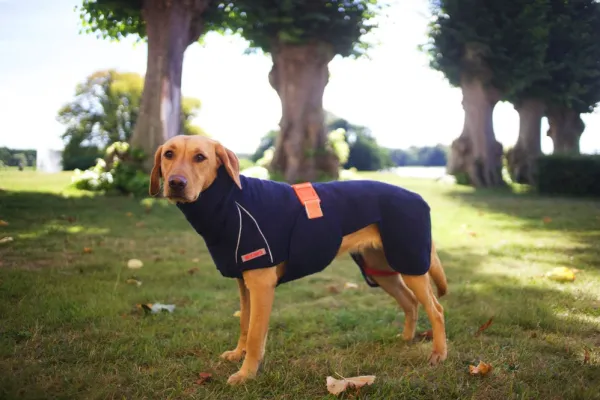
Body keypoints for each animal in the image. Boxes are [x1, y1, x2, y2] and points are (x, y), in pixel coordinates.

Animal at [149, 135, 448, 385]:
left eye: (200, 157)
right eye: (168, 154)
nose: (176, 183)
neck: (230, 201)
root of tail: (418, 197)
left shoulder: (261, 286)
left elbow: (256, 335)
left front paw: (246, 374)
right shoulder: (244, 284)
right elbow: (245, 323)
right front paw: (238, 354)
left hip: (411, 264)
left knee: (436, 310)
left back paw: (438, 354)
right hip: (382, 270)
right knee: (410, 302)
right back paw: (406, 340)